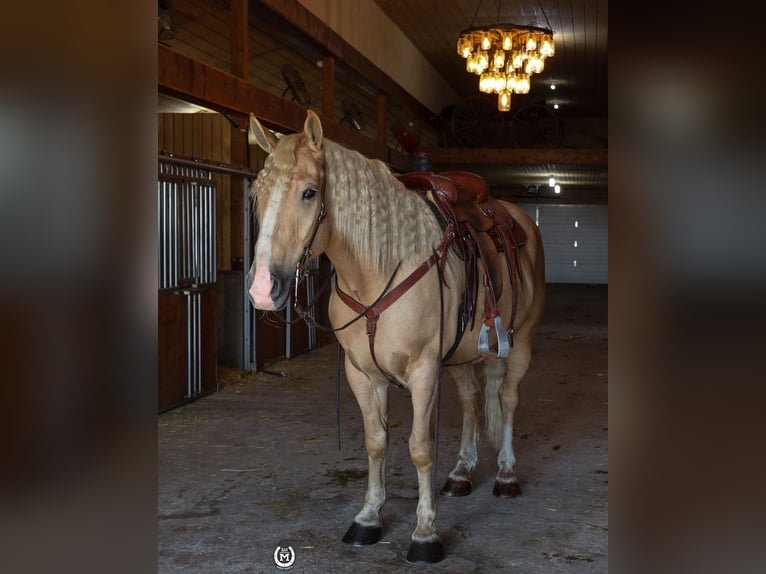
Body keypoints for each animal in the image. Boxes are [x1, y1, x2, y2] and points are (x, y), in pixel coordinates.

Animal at [246, 110, 546, 564]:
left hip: (521, 343)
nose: (263, 289)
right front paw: (368, 518)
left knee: (508, 401)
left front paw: (425, 533)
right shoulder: (363, 375)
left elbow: (420, 447)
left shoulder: (423, 372)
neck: (377, 273)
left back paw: (507, 475)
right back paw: (461, 472)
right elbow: (376, 442)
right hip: (461, 357)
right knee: (472, 402)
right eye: (256, 193)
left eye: (309, 193)